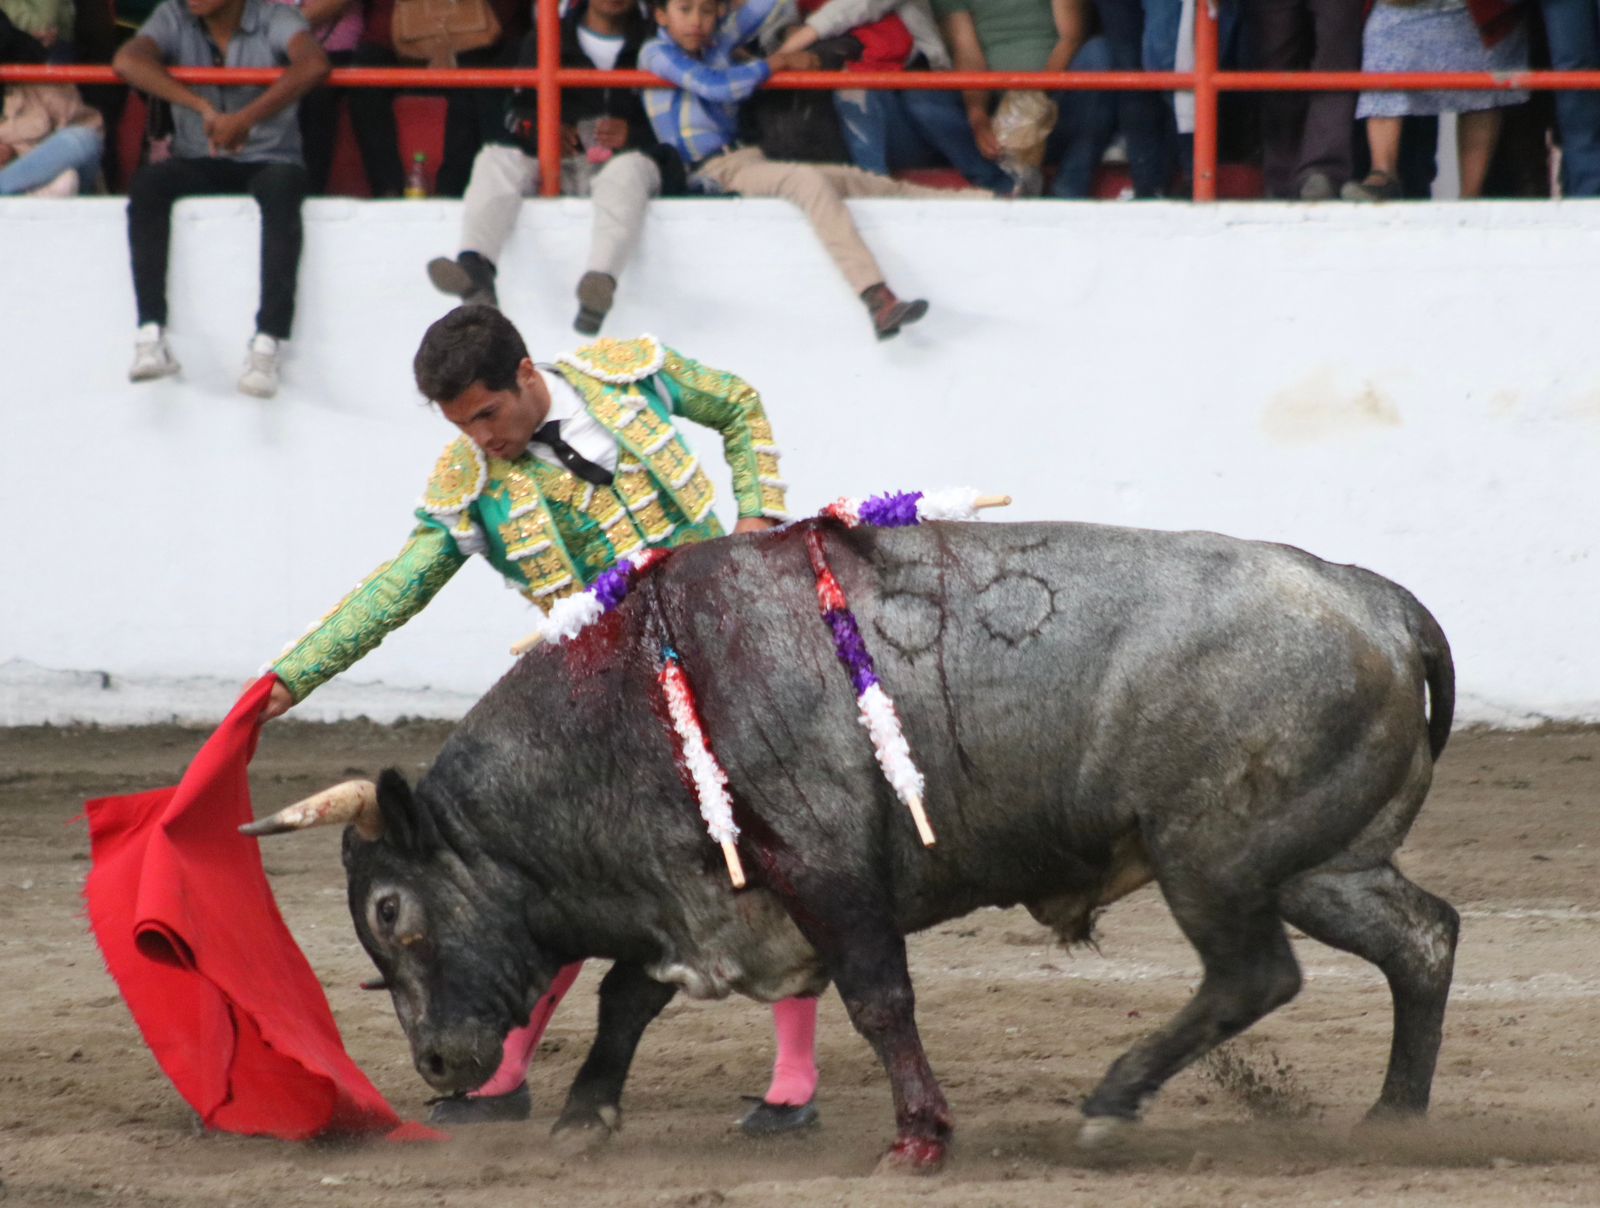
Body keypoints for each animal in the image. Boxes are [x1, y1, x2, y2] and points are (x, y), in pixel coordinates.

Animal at [243, 521, 1459, 1171]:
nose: (437, 1065)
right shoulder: (712, 897)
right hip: (1322, 865)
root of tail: (1376, 600)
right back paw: (1394, 1119)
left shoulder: (829, 874)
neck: (635, 704)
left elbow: (879, 1001)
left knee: (1256, 973)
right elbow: (628, 995)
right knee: (1424, 938)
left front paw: (919, 1136)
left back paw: (1114, 1101)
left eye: (391, 909)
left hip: (1215, 862)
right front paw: (586, 1112)